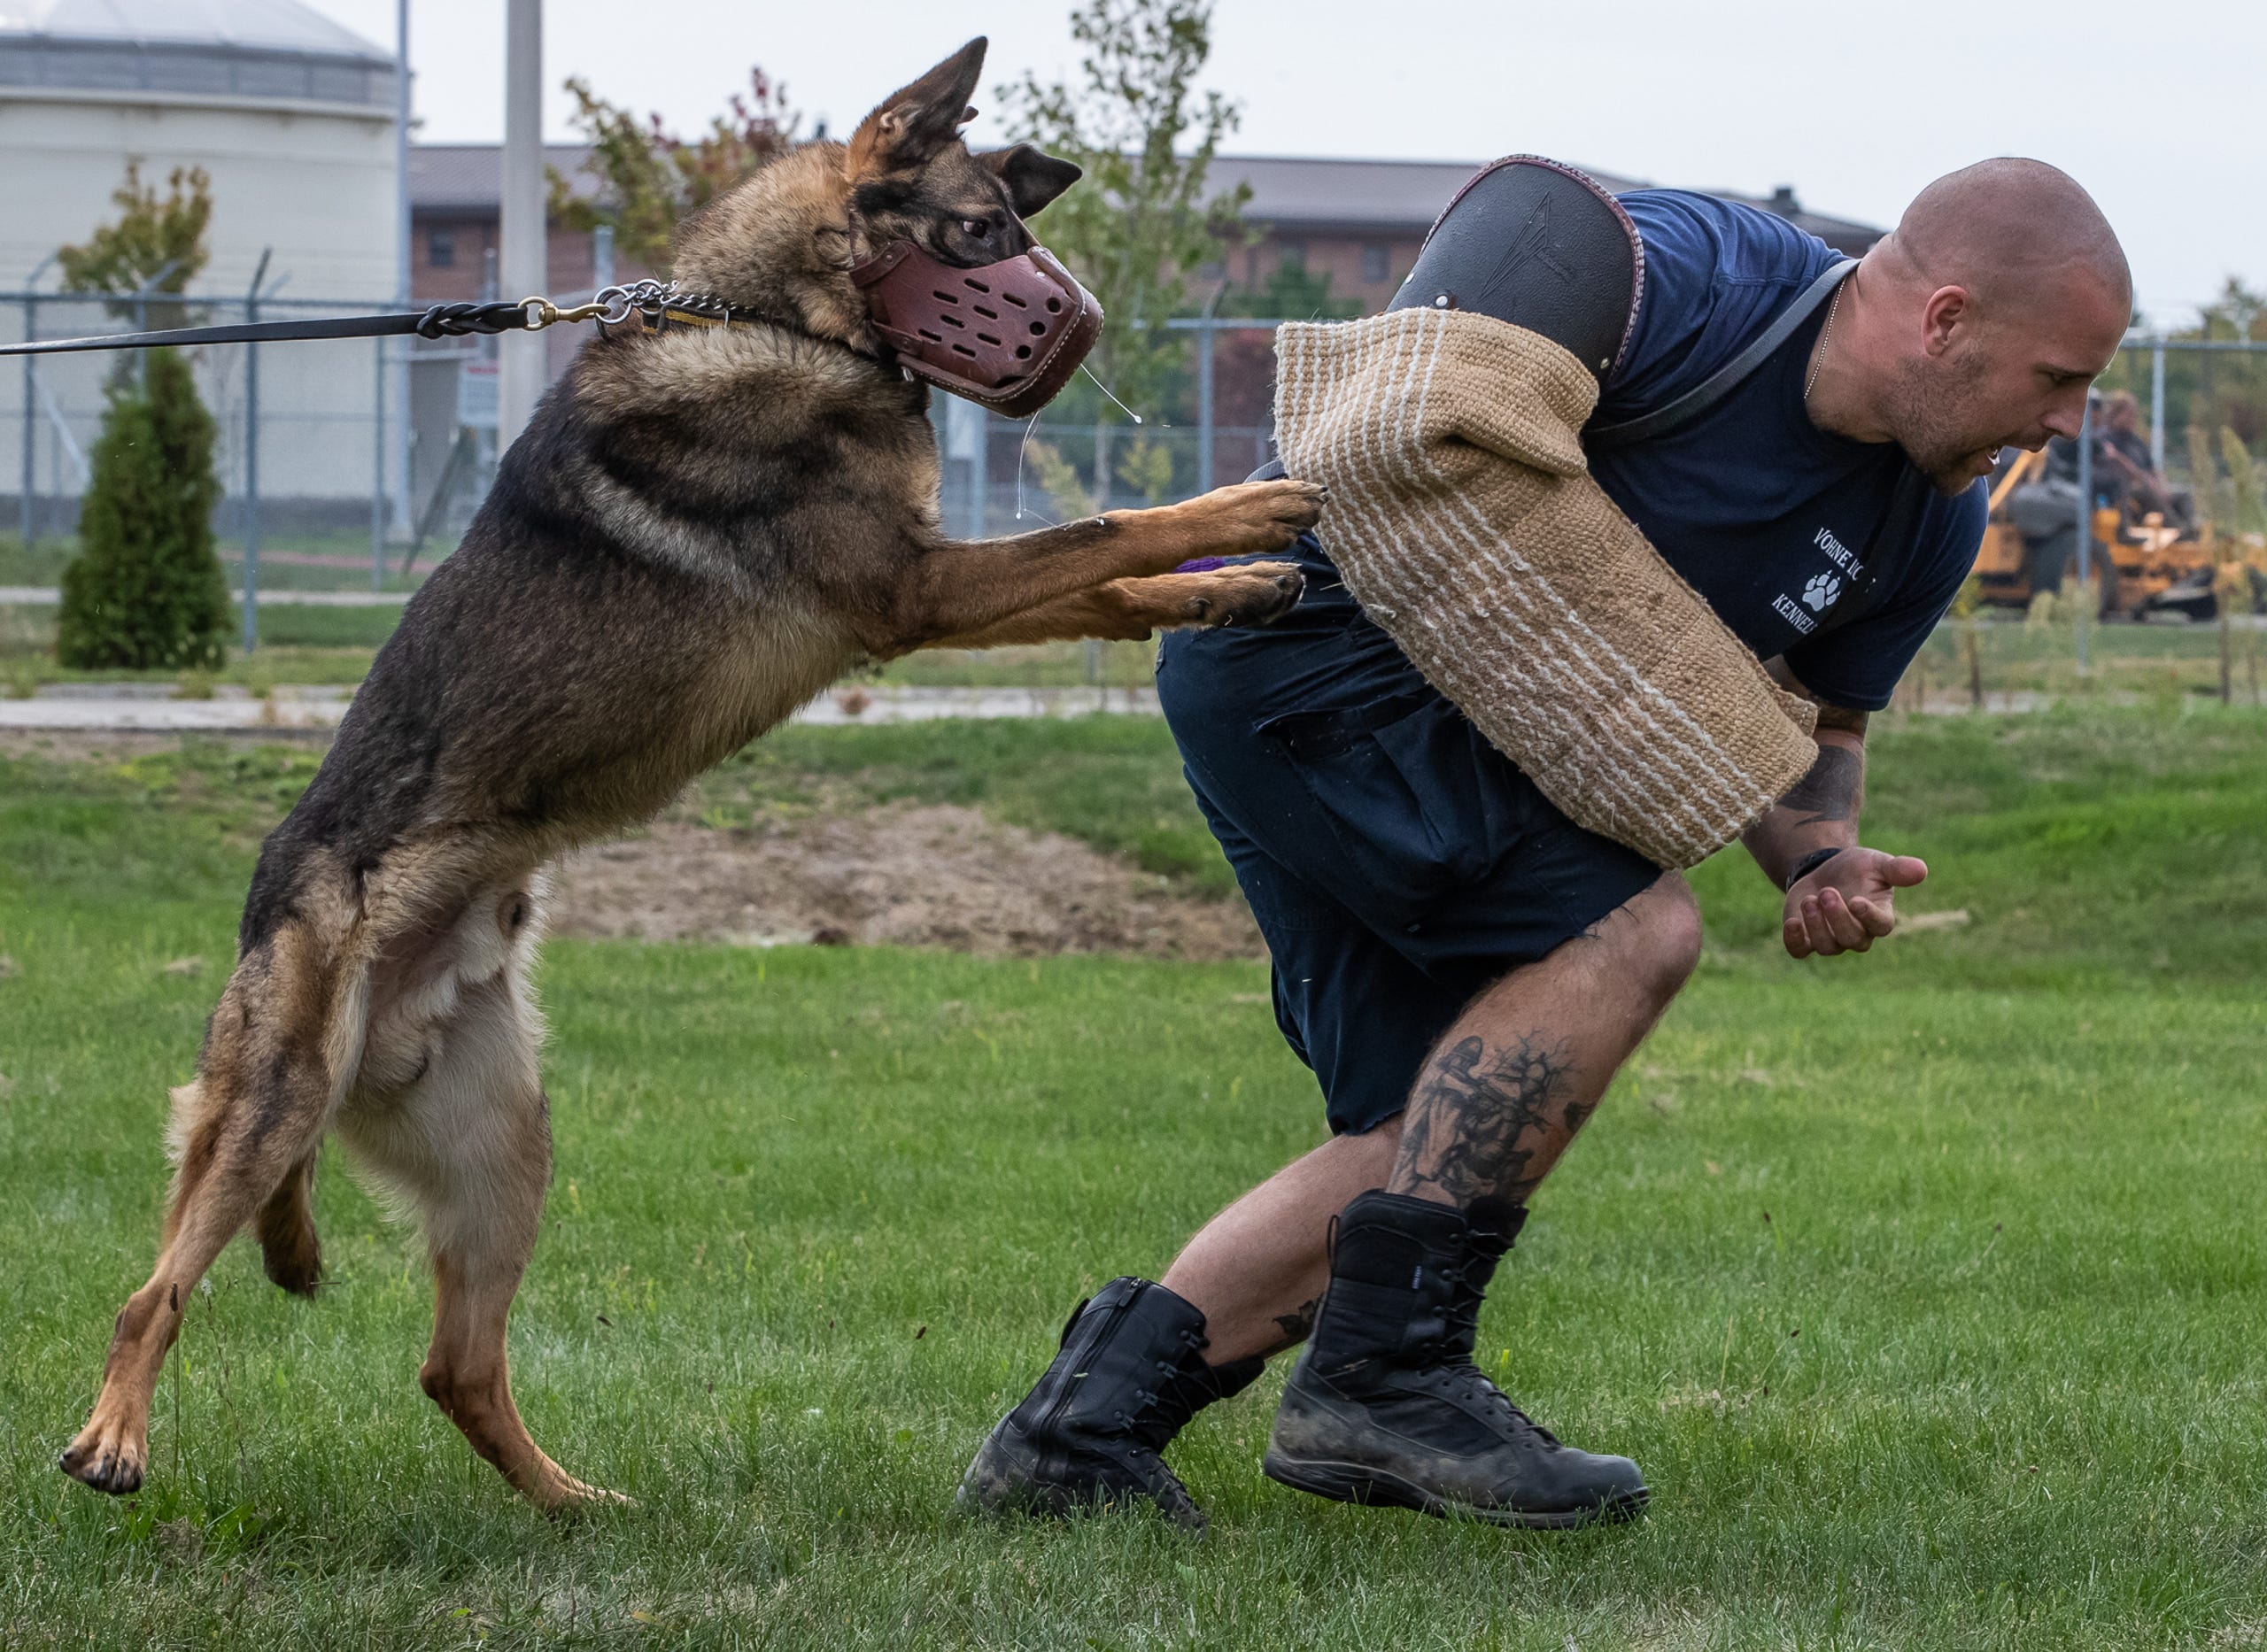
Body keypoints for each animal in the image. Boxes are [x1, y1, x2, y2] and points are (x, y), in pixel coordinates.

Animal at [62, 38, 1324, 1504]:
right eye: (979, 234)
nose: (1076, 330)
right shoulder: (916, 593)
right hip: (276, 1100)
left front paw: (1234, 586)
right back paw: (114, 1436)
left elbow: (1111, 584)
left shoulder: (924, 597)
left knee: (455, 1366)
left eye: (1016, 231)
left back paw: (574, 1502)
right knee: (150, 1292)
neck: (784, 318)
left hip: (506, 1151)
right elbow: (1112, 529)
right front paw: (1247, 512)